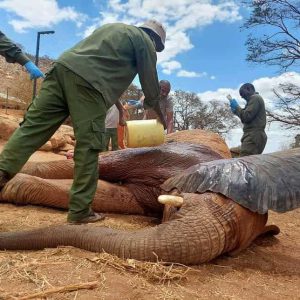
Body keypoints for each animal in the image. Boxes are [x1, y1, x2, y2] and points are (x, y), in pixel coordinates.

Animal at [0, 131, 300, 264]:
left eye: (231, 250)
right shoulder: (171, 154)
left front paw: (14, 187)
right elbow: (105, 164)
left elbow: (115, 196)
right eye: (177, 211)